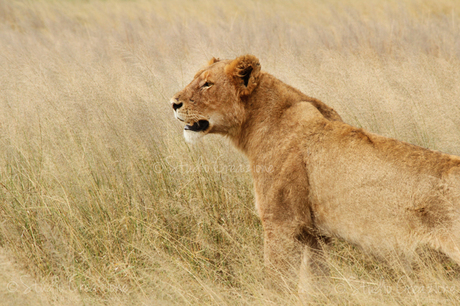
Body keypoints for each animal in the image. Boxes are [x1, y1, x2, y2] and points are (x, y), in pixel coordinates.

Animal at [171, 53, 460, 292]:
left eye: (208, 84)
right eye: (196, 79)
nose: (174, 103)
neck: (259, 122)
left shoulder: (281, 223)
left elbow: (276, 280)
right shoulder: (316, 235)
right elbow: (315, 281)